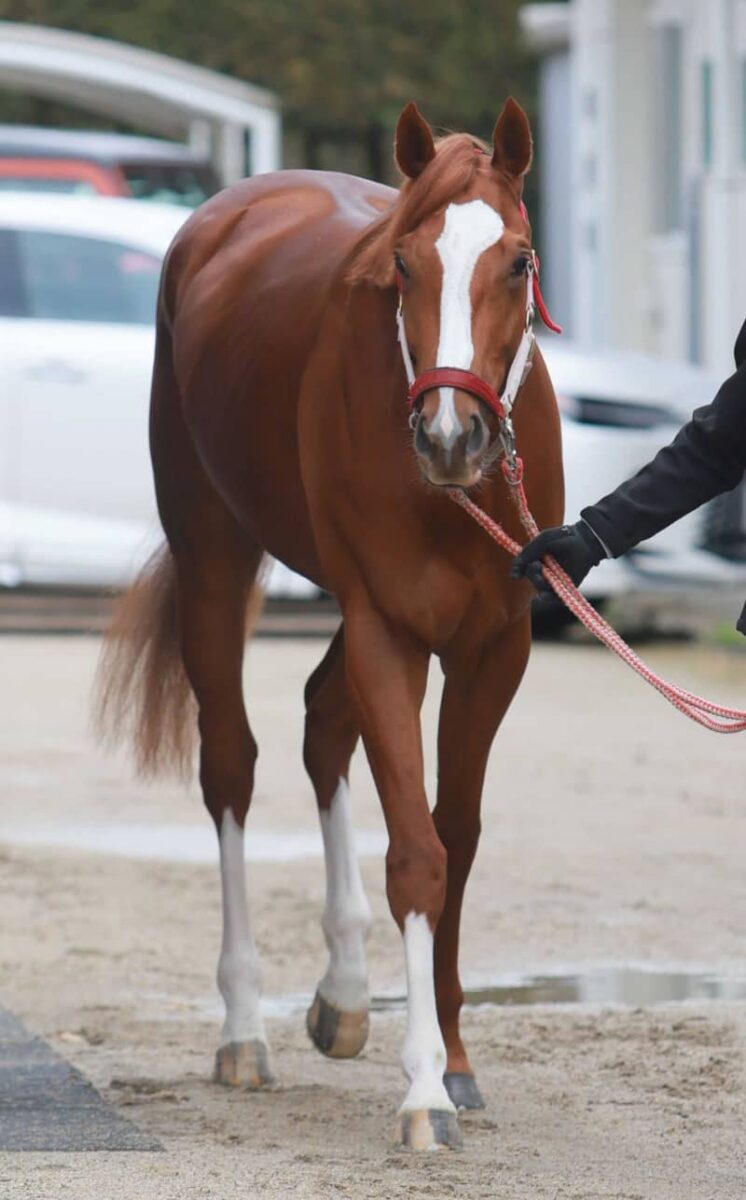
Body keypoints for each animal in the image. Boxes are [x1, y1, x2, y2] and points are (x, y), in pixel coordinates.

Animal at [95, 96, 564, 1152]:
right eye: (405, 264)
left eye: (518, 260)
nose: (450, 437)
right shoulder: (388, 629)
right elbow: (417, 856)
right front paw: (425, 1089)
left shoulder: (494, 649)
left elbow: (455, 836)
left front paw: (456, 1060)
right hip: (217, 559)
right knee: (231, 764)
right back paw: (243, 1029)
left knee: (321, 722)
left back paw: (345, 994)